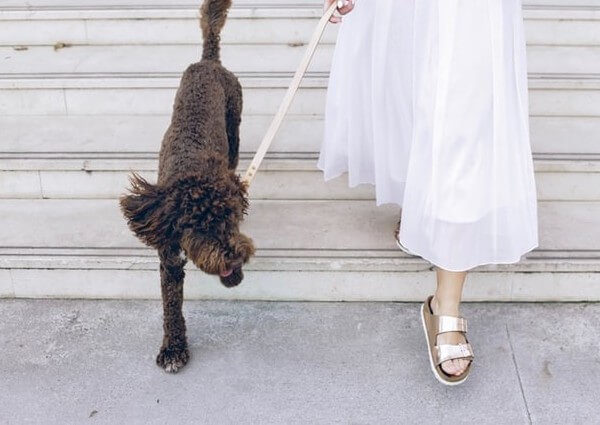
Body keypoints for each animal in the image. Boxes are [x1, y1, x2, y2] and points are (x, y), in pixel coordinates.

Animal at [120, 0, 254, 372]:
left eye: (230, 218)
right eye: (199, 226)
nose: (233, 255)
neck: (192, 170)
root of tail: (208, 61)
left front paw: (233, 275)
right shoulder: (168, 256)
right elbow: (171, 306)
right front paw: (173, 348)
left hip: (235, 122)